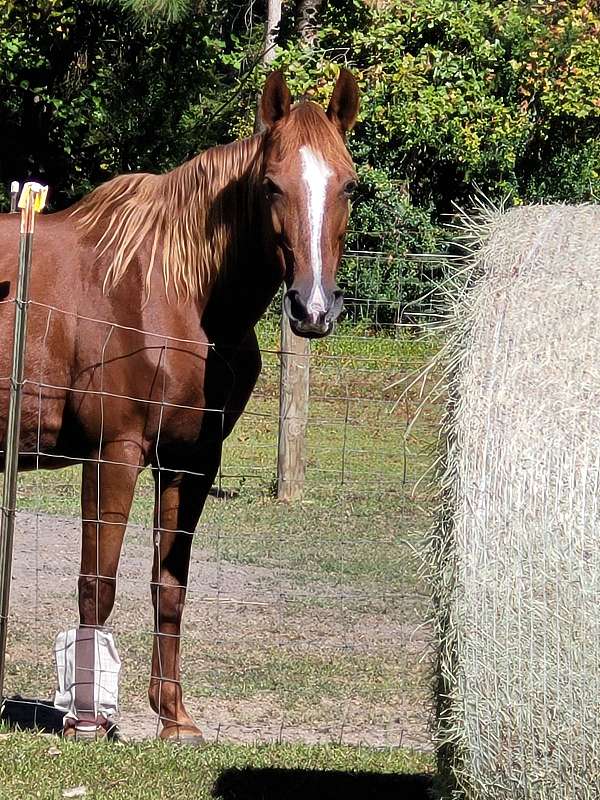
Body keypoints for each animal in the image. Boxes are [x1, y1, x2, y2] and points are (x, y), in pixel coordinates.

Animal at [0, 70, 356, 744]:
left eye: (348, 183)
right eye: (271, 185)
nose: (313, 309)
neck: (172, 293)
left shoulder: (189, 463)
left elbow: (169, 586)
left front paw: (174, 718)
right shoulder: (112, 456)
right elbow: (98, 583)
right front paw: (88, 721)